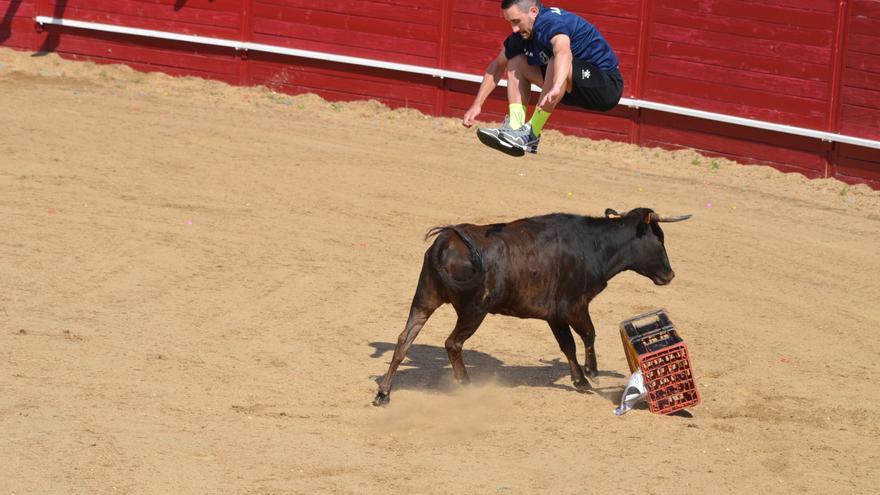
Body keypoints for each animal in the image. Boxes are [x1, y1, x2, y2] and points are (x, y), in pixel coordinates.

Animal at [372, 207, 688, 404]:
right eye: (658, 239)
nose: (670, 275)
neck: (593, 245)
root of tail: (446, 240)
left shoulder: (554, 315)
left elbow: (567, 345)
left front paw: (580, 380)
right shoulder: (575, 306)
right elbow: (588, 334)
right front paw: (592, 373)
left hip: (424, 299)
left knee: (404, 340)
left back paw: (384, 393)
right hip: (474, 310)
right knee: (452, 343)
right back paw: (466, 384)